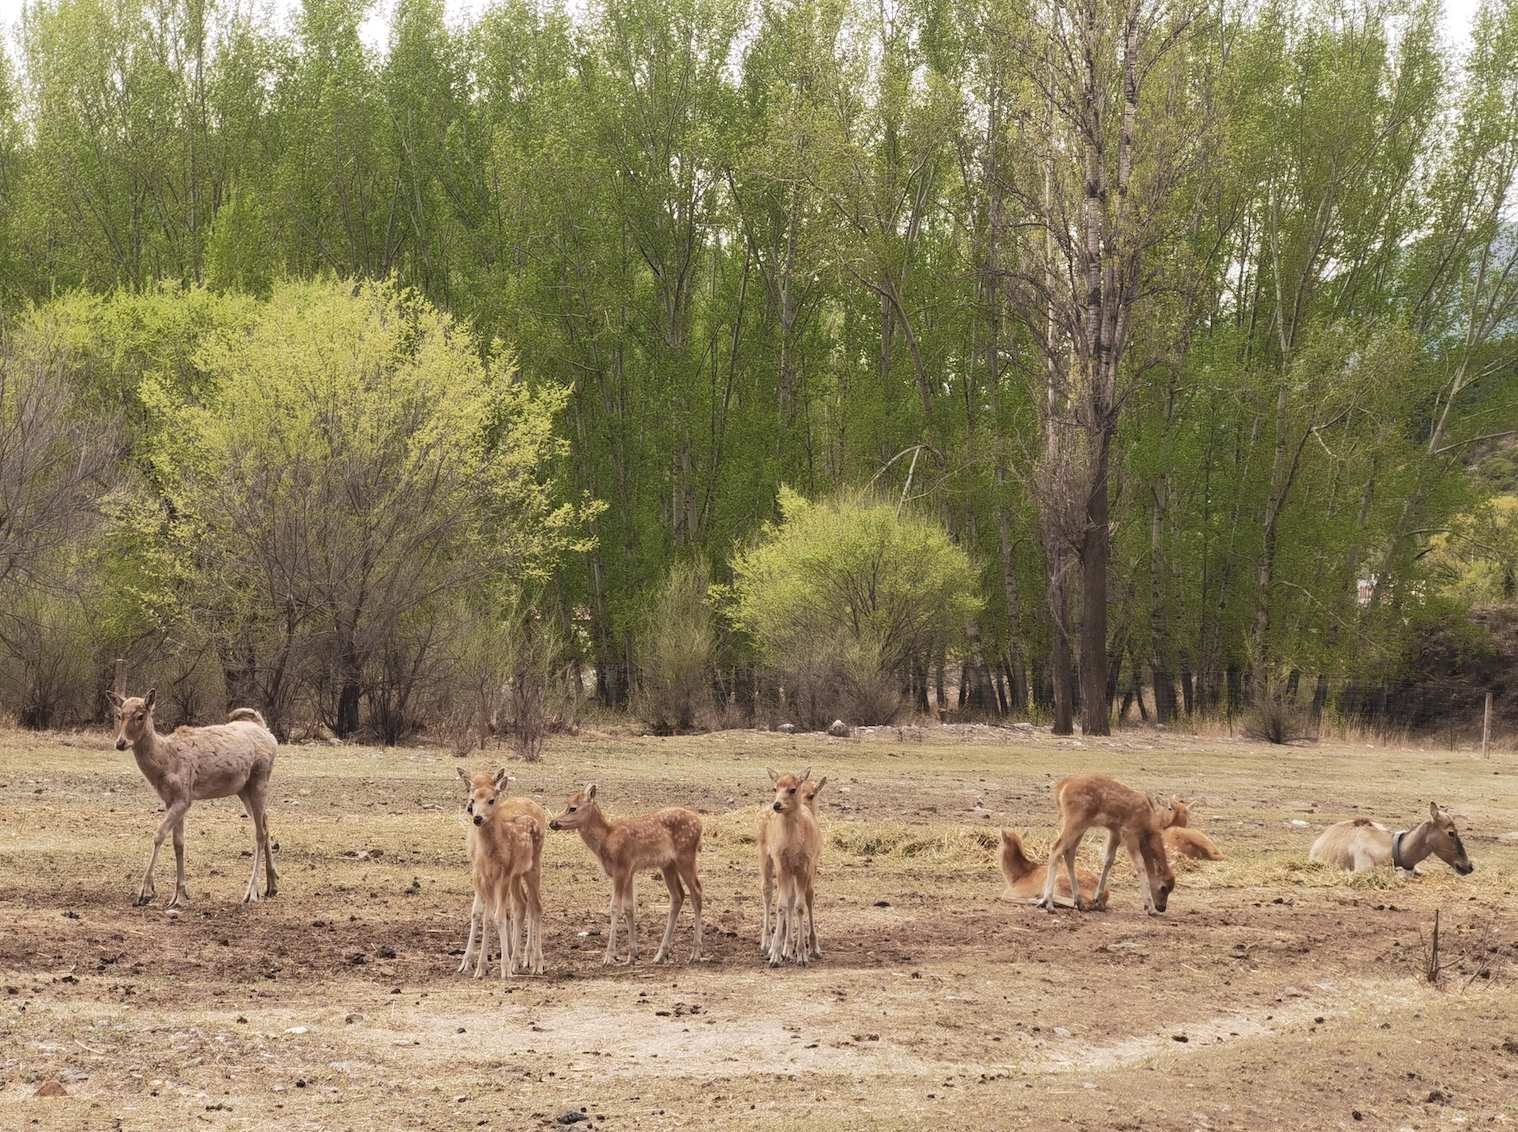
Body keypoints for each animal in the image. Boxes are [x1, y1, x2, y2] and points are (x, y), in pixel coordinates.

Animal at [112, 682, 282, 904]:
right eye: (119, 715)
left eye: (140, 715)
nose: (120, 743)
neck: (164, 762)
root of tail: (266, 730)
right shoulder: (170, 800)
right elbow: (178, 843)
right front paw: (180, 895)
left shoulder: (184, 797)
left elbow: (159, 833)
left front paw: (146, 892)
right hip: (243, 789)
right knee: (266, 822)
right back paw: (272, 886)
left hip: (261, 779)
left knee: (260, 832)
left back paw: (251, 892)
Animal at [455, 770, 552, 977]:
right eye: (471, 796)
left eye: (492, 799)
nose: (475, 816)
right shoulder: (483, 874)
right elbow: (484, 915)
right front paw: (476, 966)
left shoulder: (504, 873)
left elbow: (499, 916)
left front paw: (505, 969)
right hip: (517, 875)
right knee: (523, 904)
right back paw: (519, 960)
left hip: (533, 867)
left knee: (536, 905)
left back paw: (536, 963)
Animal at [552, 782, 704, 959]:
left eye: (573, 808)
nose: (552, 822)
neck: (607, 838)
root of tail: (700, 823)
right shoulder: (629, 872)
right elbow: (629, 908)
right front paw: (632, 956)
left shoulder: (622, 868)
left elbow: (615, 906)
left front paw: (609, 957)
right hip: (668, 864)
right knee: (678, 896)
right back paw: (660, 955)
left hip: (686, 854)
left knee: (696, 891)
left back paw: (695, 954)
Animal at [1038, 770, 1177, 910]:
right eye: (1163, 887)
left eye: (1172, 887)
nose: (1162, 907)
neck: (1147, 826)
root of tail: (1062, 787)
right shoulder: (1130, 833)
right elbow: (1139, 864)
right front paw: (1149, 907)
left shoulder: (1115, 832)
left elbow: (1109, 860)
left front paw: (1098, 901)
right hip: (1075, 819)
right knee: (1056, 847)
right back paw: (1048, 903)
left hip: (1081, 825)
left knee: (1069, 852)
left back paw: (1080, 903)